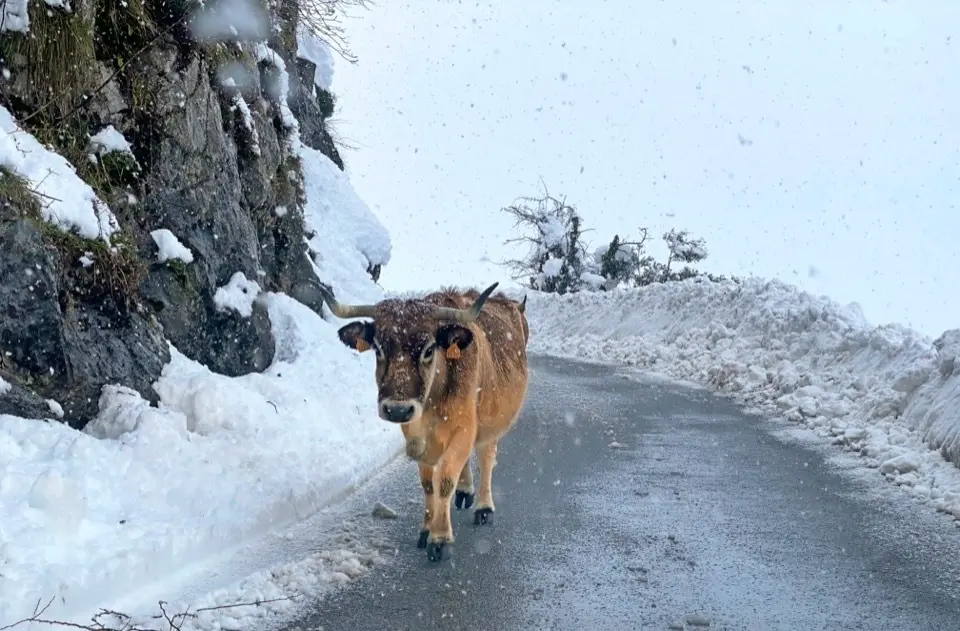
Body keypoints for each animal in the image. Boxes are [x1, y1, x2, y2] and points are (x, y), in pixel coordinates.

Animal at [318, 282, 530, 562]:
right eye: (378, 348)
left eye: (429, 349)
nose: (397, 409)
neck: (434, 402)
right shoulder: (416, 437)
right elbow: (429, 484)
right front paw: (426, 530)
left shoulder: (464, 429)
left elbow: (445, 481)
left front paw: (440, 539)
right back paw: (465, 492)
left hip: (491, 425)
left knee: (485, 458)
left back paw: (483, 507)